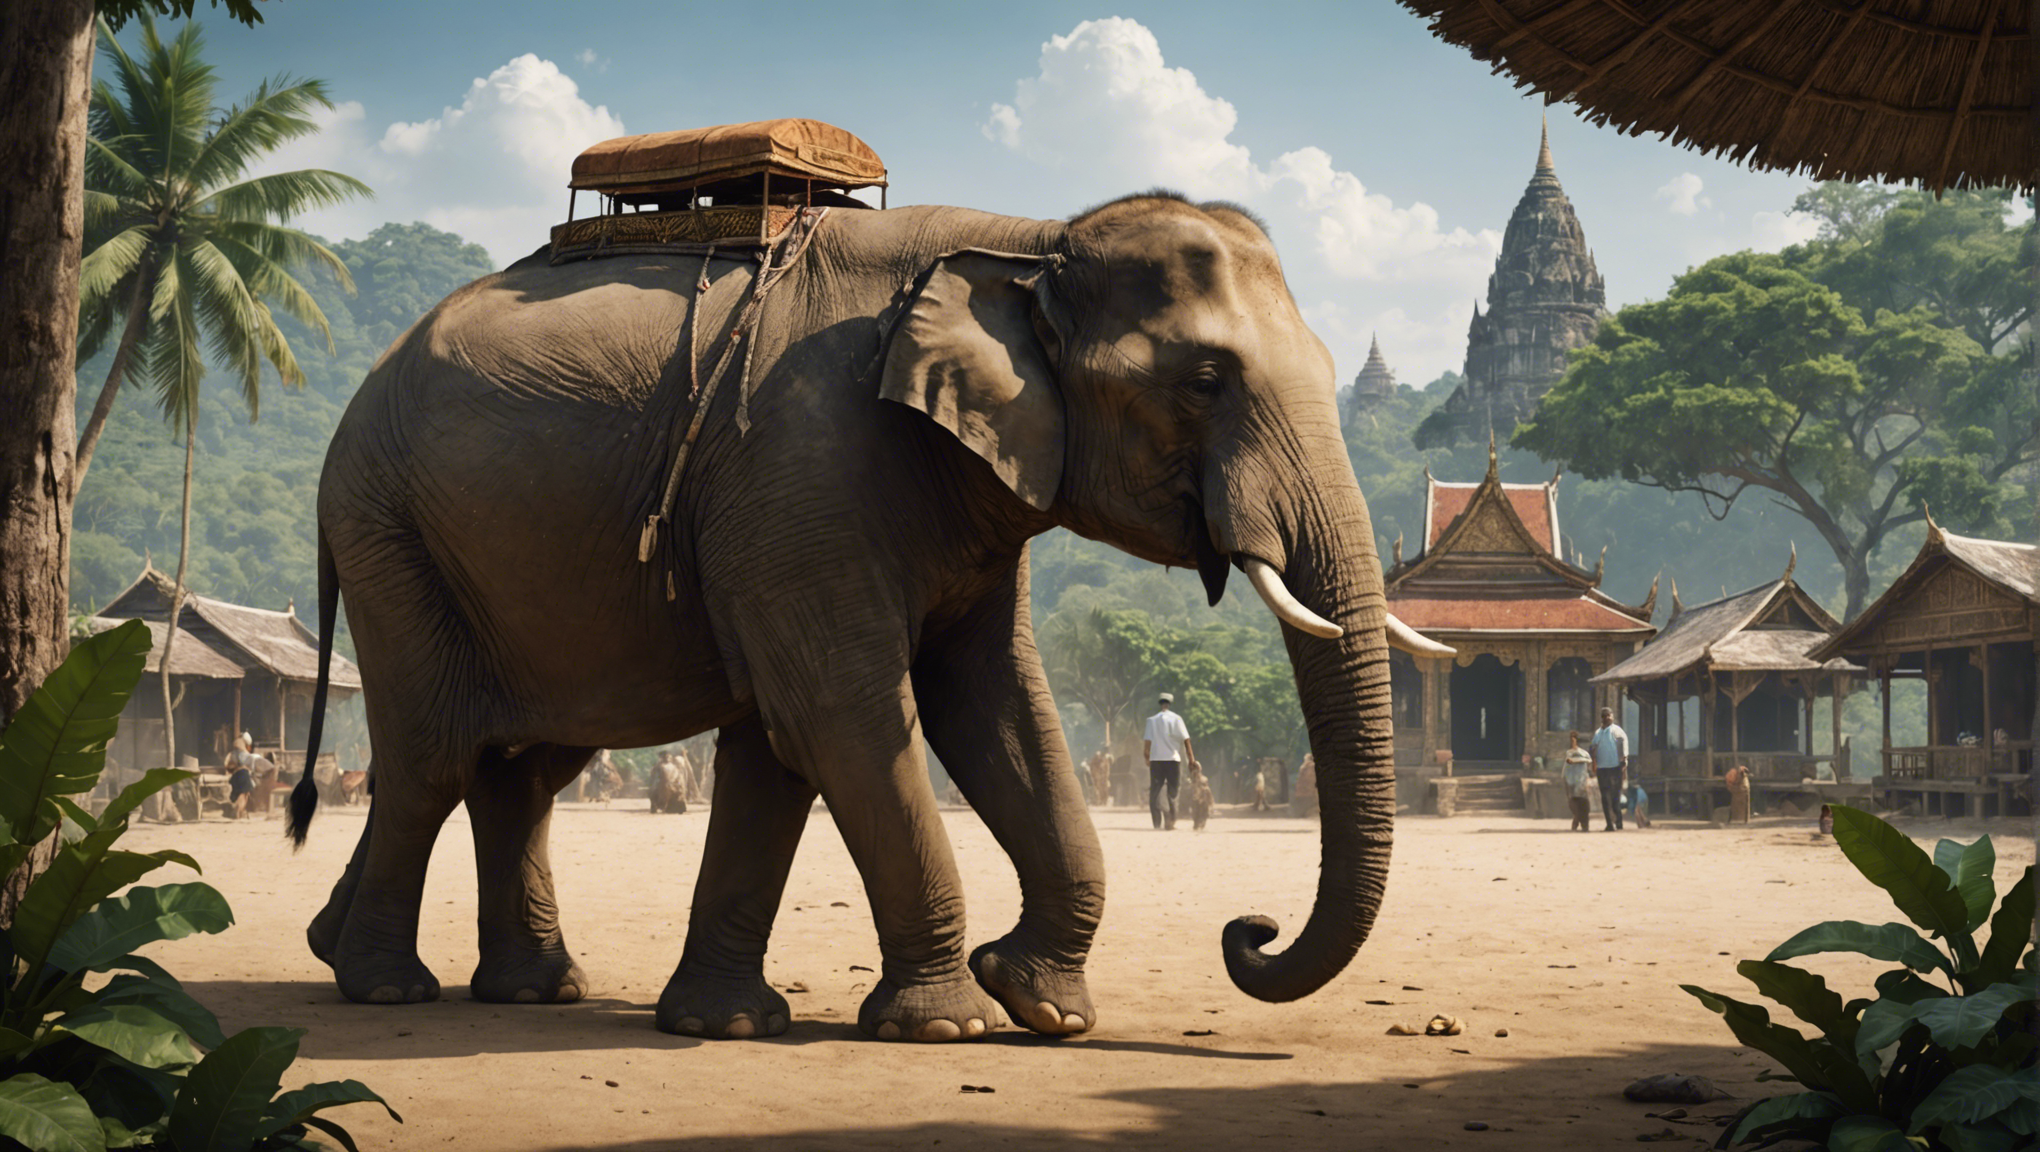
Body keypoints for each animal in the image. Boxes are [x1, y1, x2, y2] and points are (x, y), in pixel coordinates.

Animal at [289, 190, 1417, 1043]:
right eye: (1203, 381)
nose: (1249, 930)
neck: (1028, 236)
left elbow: (976, 713)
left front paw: (1037, 1008)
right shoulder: (801, 470)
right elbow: (847, 716)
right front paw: (953, 1023)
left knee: (523, 765)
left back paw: (497, 982)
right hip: (388, 533)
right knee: (437, 751)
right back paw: (385, 985)